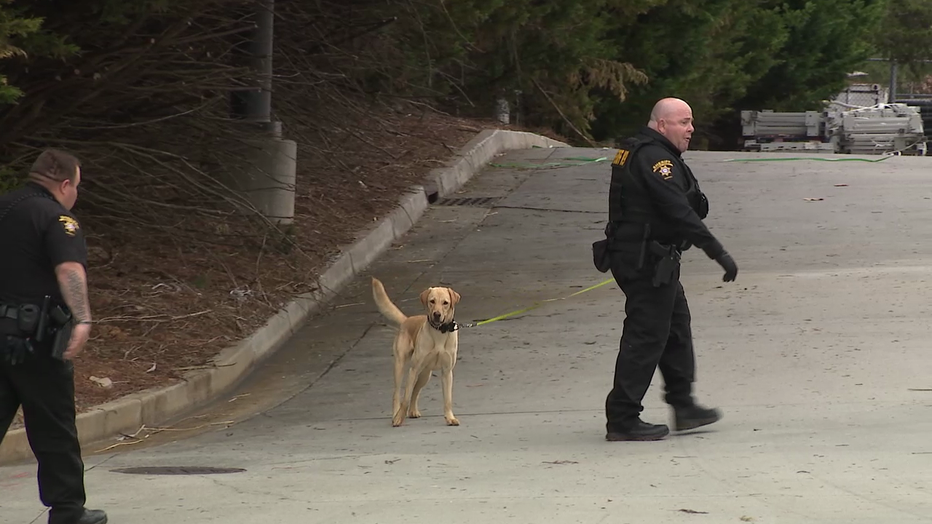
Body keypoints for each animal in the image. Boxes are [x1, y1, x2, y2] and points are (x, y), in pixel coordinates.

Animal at [370, 276, 460, 428]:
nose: (437, 314)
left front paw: (450, 418)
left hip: (425, 374)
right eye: (432, 301)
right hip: (401, 366)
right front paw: (399, 418)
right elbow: (405, 398)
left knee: (416, 390)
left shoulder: (447, 372)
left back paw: (412, 411)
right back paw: (395, 414)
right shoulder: (413, 369)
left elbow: (447, 399)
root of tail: (406, 320)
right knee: (398, 393)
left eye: (445, 303)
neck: (439, 333)